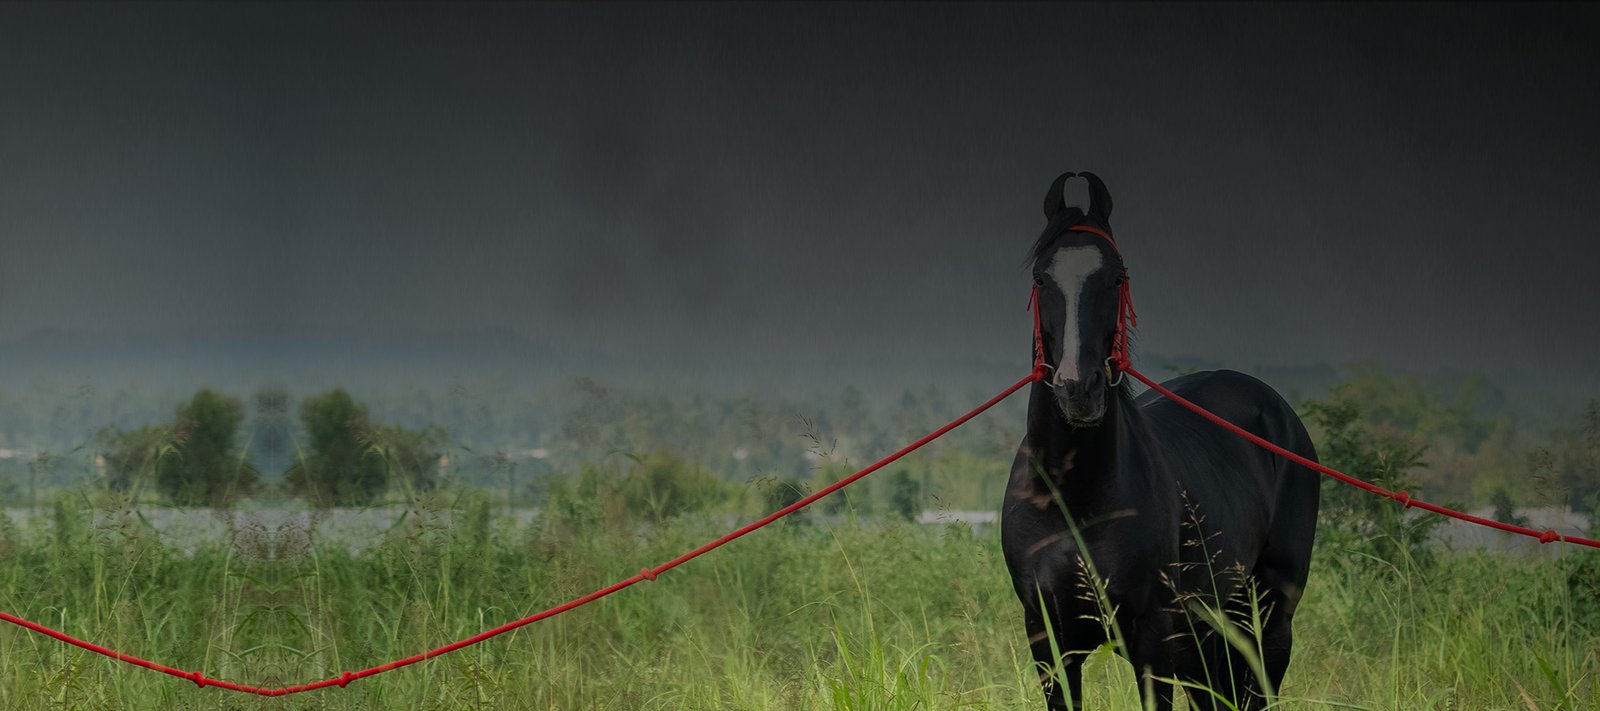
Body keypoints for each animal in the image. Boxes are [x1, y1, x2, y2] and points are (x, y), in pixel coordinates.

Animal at [1000, 172, 1321, 711]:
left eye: (1116, 277)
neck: (1074, 496)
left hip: (1268, 616)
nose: (1078, 389)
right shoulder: (1050, 643)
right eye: (1042, 279)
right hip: (1206, 633)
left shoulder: (1152, 639)